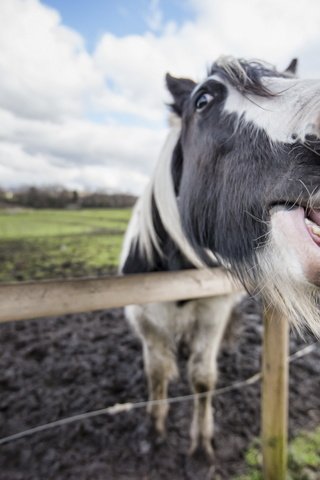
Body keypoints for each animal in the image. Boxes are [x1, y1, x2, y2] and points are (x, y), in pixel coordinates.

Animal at [120, 54, 320, 456]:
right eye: (202, 100)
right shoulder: (146, 320)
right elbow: (157, 374)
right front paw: (154, 430)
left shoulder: (212, 314)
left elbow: (202, 378)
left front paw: (201, 445)